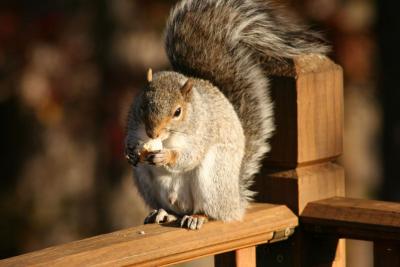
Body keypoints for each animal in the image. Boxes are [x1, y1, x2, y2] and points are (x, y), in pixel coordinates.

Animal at [125, 0, 328, 230]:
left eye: (177, 112)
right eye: (142, 105)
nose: (152, 133)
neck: (168, 138)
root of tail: (235, 203)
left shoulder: (202, 132)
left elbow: (189, 156)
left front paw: (166, 156)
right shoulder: (135, 125)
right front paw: (130, 151)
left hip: (212, 180)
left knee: (210, 211)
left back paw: (198, 216)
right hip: (146, 181)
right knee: (172, 209)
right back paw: (163, 212)